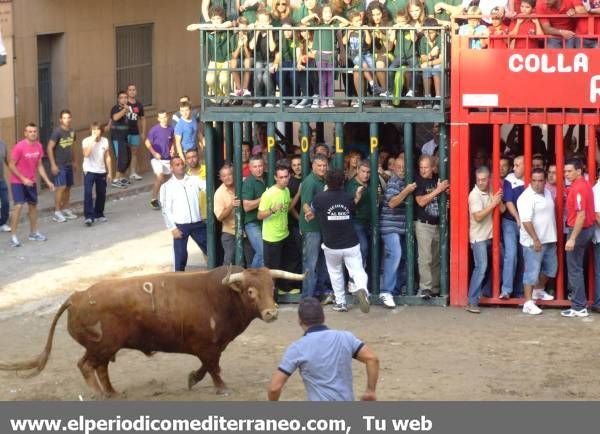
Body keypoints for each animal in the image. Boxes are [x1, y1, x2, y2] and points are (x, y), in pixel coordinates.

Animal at [0, 264, 302, 396]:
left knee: (100, 368)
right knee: (86, 366)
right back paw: (100, 394)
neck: (221, 295)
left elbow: (206, 367)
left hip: (104, 348)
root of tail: (77, 295)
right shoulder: (207, 346)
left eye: (272, 287)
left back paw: (112, 392)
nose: (272, 313)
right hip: (101, 345)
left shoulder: (212, 346)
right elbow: (213, 367)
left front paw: (193, 379)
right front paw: (222, 388)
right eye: (251, 291)